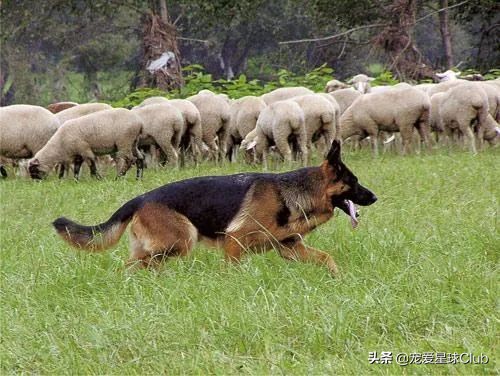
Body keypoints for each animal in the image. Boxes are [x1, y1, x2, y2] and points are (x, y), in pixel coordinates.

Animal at [53, 140, 376, 274]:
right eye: (355, 182)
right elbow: (232, 272)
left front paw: (337, 278)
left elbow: (326, 258)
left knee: (138, 265)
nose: (375, 198)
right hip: (181, 239)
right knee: (134, 265)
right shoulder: (234, 242)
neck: (294, 193)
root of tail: (141, 198)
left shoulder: (290, 248)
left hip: (161, 247)